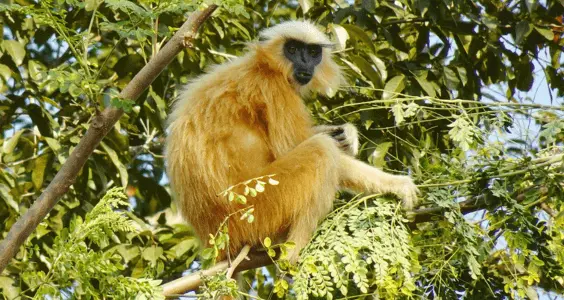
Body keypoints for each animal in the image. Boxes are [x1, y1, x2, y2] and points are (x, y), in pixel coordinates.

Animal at [165, 19, 416, 262]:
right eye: (293, 49)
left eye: (313, 52)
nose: (304, 62)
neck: (263, 65)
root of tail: (215, 241)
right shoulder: (274, 89)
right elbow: (292, 147)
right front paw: (397, 184)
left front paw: (347, 134)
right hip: (257, 208)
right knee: (321, 150)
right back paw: (292, 253)